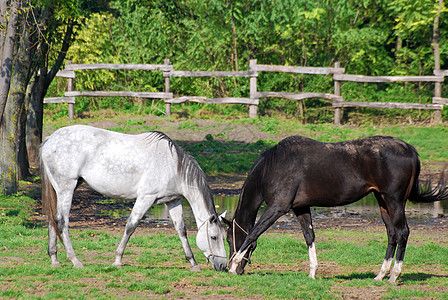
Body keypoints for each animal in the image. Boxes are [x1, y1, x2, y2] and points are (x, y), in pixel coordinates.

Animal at [39, 125, 226, 270]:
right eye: (214, 237)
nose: (222, 265)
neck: (172, 165)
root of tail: (50, 139)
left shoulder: (173, 200)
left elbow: (181, 230)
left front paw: (193, 263)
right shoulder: (146, 198)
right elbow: (131, 225)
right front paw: (118, 260)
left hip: (61, 189)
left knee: (53, 218)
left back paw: (54, 259)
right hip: (67, 188)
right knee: (62, 220)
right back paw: (75, 260)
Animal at [224, 136, 448, 284]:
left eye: (228, 239)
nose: (226, 267)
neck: (274, 166)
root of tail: (409, 149)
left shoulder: (278, 207)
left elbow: (253, 233)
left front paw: (234, 265)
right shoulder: (301, 208)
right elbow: (309, 236)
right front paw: (312, 273)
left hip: (394, 201)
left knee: (402, 233)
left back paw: (394, 276)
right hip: (382, 201)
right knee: (392, 234)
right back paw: (380, 275)